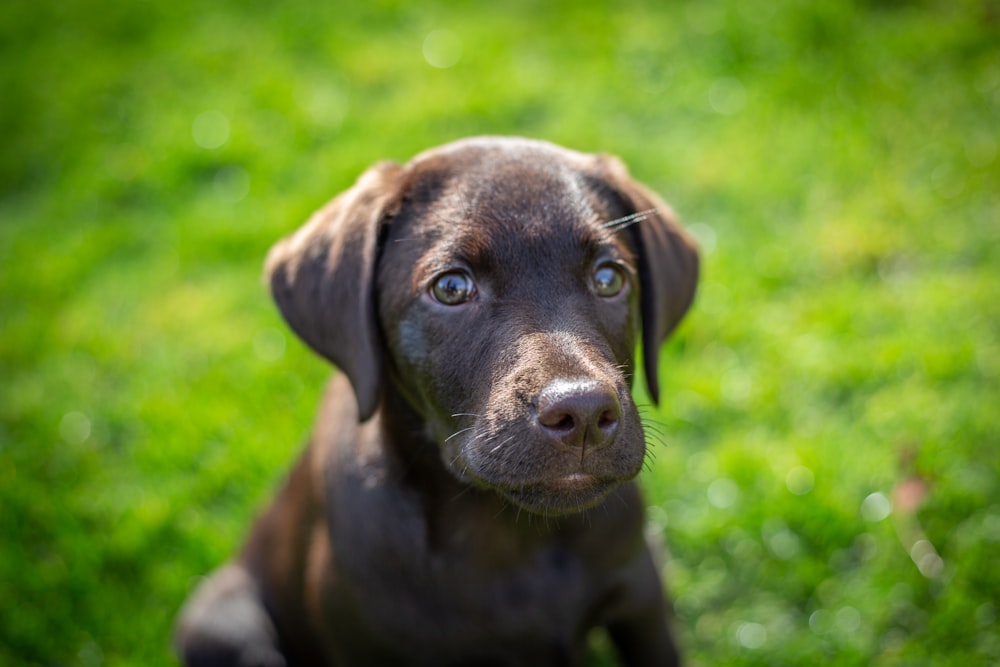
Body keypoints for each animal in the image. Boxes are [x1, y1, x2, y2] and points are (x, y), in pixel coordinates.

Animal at [174, 137, 696, 667]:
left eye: (609, 278)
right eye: (451, 287)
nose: (584, 411)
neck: (513, 539)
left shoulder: (642, 596)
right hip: (225, 625)